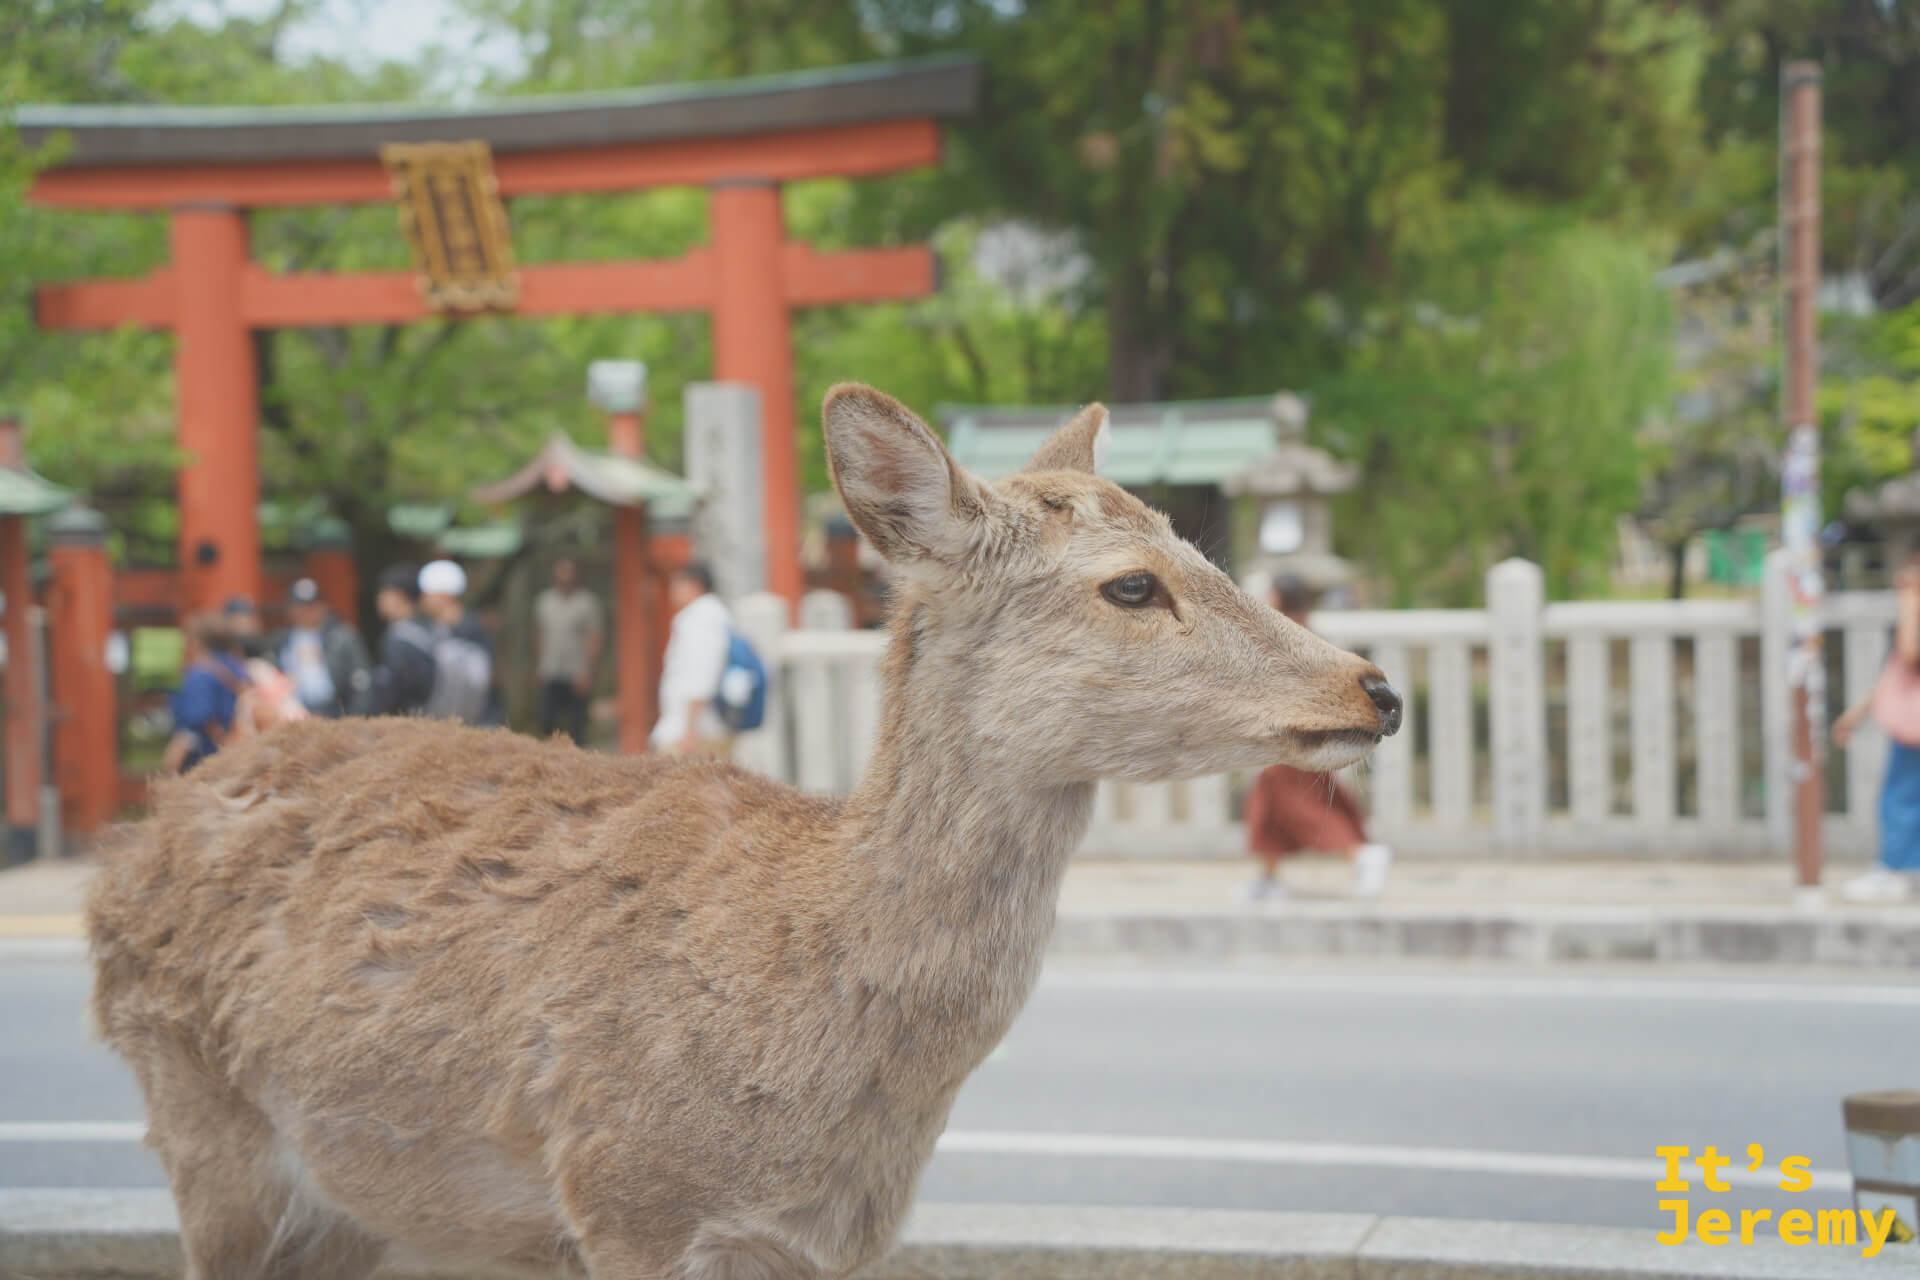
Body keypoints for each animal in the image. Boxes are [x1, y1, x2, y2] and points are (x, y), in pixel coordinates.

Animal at [87, 383, 1402, 1280]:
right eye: (1133, 582)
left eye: (1201, 547)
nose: (1374, 686)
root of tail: (127, 850)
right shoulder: (624, 1194)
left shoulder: (822, 1240)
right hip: (201, 1120)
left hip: (350, 1202)